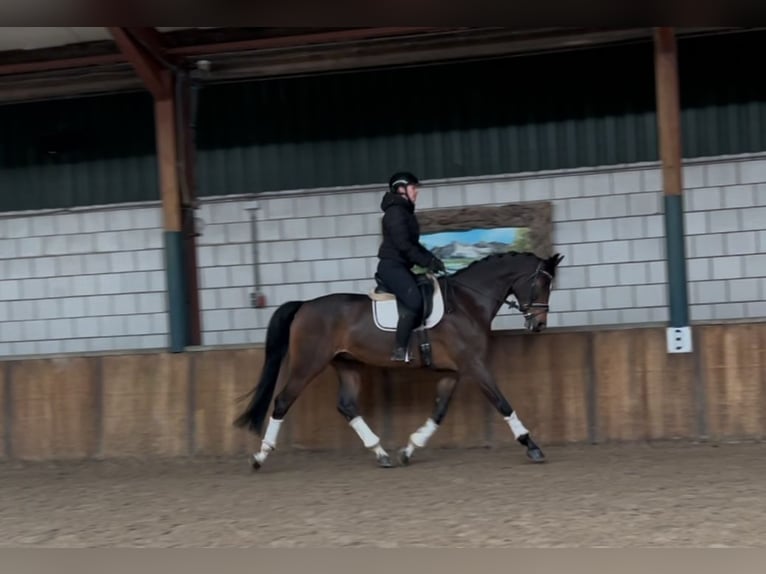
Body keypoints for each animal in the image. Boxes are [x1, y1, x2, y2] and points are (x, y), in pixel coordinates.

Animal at [232, 252, 564, 472]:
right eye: (541, 284)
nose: (539, 325)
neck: (467, 303)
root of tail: (304, 306)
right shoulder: (474, 365)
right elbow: (503, 403)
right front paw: (531, 446)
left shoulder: (453, 371)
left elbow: (439, 412)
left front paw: (409, 448)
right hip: (308, 364)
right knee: (282, 401)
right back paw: (260, 456)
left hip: (347, 364)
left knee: (347, 405)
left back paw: (381, 453)